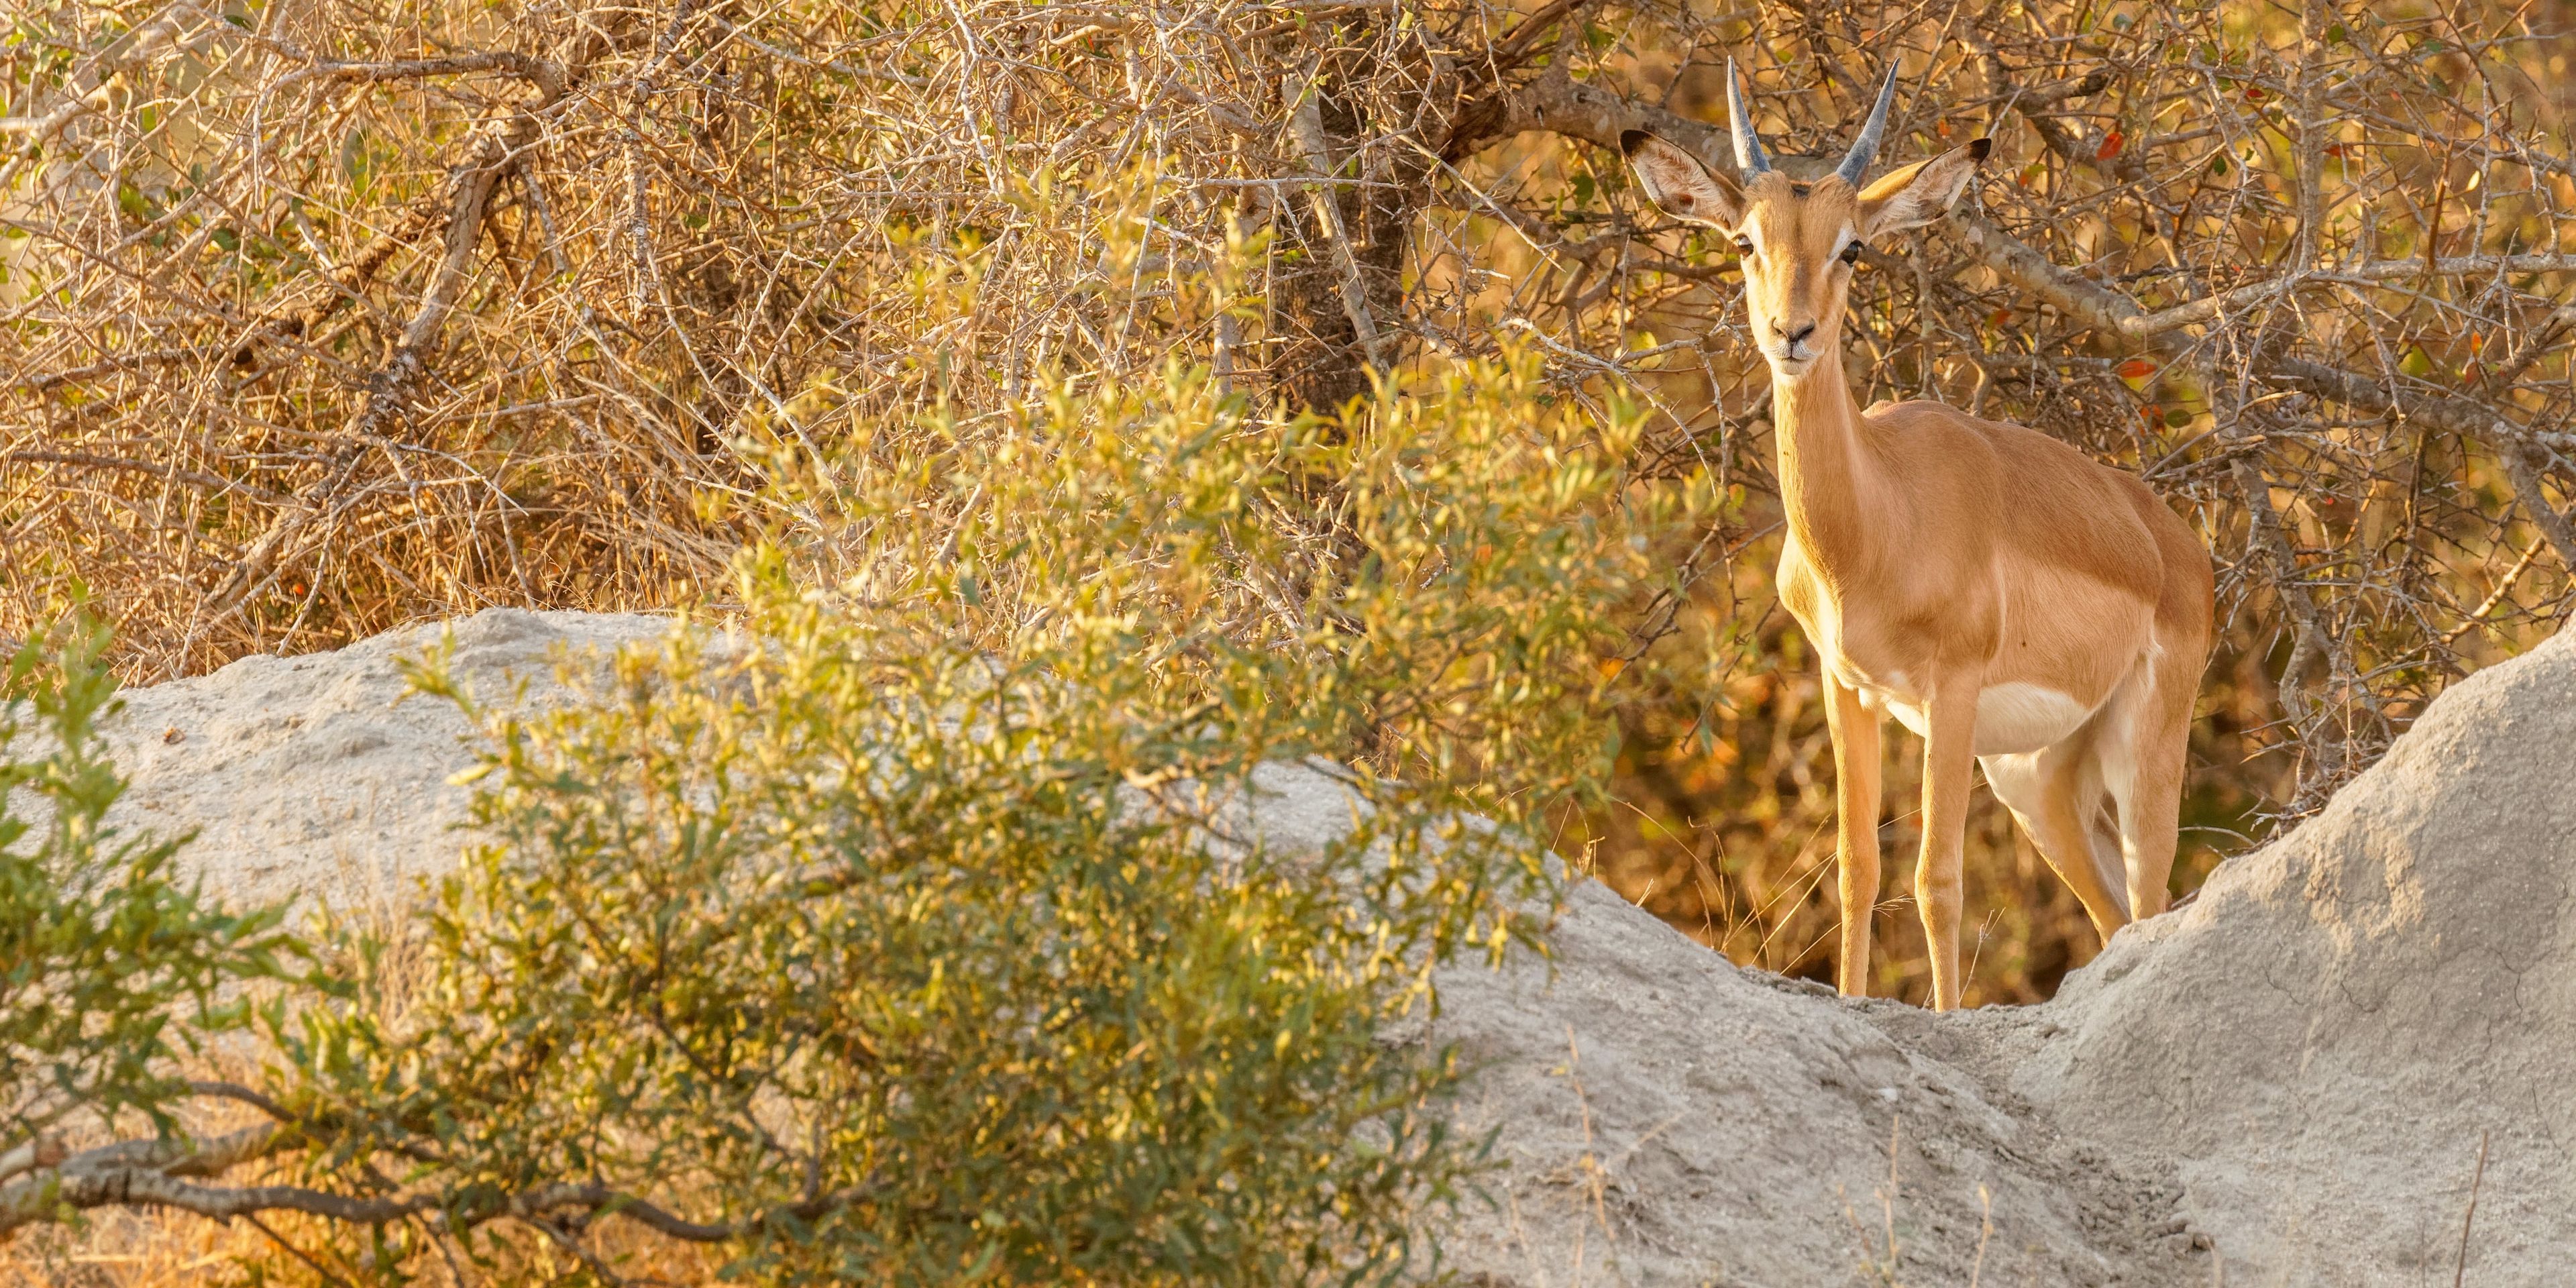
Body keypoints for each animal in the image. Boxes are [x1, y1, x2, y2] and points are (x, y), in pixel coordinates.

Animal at [1620, 64, 2213, 1010]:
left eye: (1853, 248)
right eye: (1746, 241)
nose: (1793, 333)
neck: (1874, 526)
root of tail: (2179, 549)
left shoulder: (1952, 693)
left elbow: (1938, 880)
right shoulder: (1847, 688)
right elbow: (1858, 867)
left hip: (2140, 750)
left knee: (2153, 897)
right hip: (2036, 778)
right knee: (2113, 916)